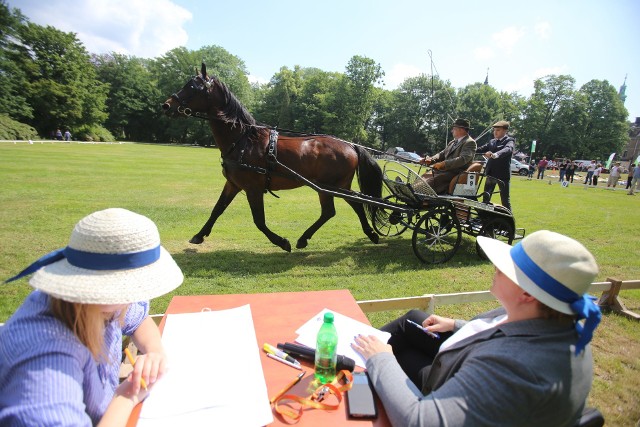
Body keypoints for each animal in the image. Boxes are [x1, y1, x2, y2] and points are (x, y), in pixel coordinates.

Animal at [162, 61, 382, 252]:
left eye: (193, 87)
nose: (166, 105)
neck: (243, 139)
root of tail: (350, 145)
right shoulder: (233, 184)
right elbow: (217, 209)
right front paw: (199, 235)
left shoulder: (253, 188)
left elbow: (259, 221)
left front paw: (281, 241)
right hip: (338, 186)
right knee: (353, 205)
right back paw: (367, 233)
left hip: (329, 187)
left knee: (334, 210)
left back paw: (307, 238)